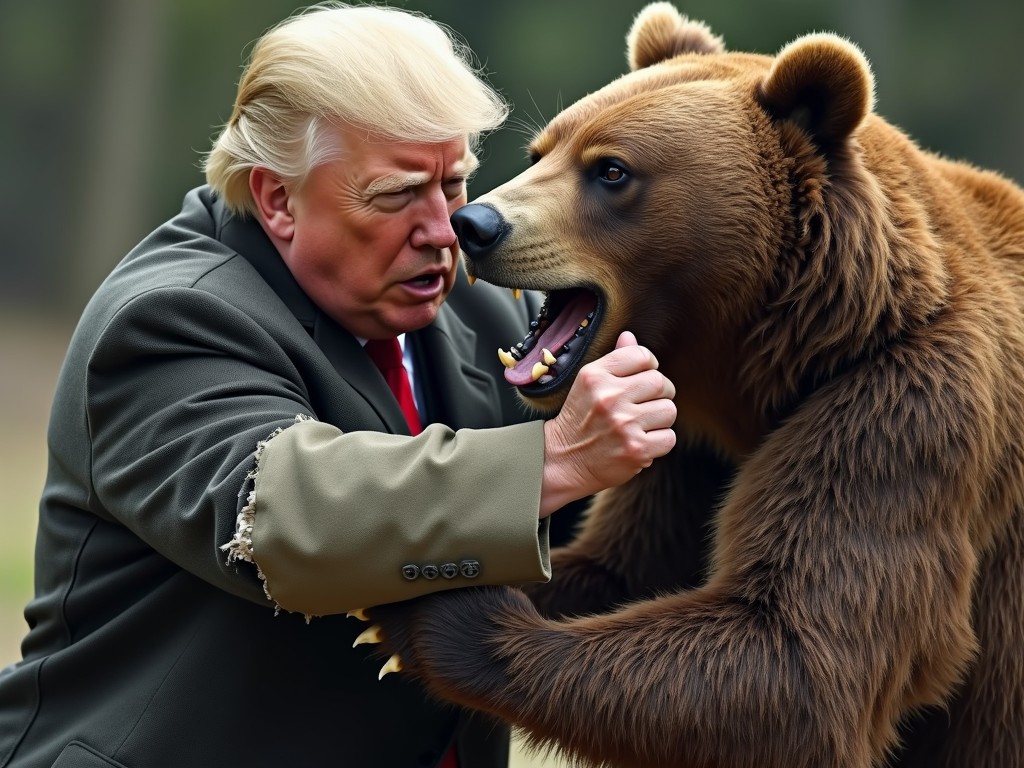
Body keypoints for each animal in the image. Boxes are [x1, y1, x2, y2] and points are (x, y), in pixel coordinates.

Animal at [360, 3, 1024, 765]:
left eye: (611, 169)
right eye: (540, 151)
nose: (474, 224)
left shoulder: (904, 409)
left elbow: (793, 656)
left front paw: (434, 614)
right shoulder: (689, 446)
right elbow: (624, 568)